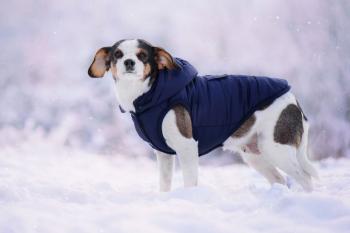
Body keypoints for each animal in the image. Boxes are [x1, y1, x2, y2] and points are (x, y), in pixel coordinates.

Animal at [87, 38, 318, 191]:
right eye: (117, 54)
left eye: (142, 55)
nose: (129, 62)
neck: (148, 95)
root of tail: (293, 99)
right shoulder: (163, 154)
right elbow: (164, 185)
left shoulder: (187, 147)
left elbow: (190, 182)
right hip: (255, 154)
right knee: (280, 180)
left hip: (276, 148)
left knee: (306, 179)